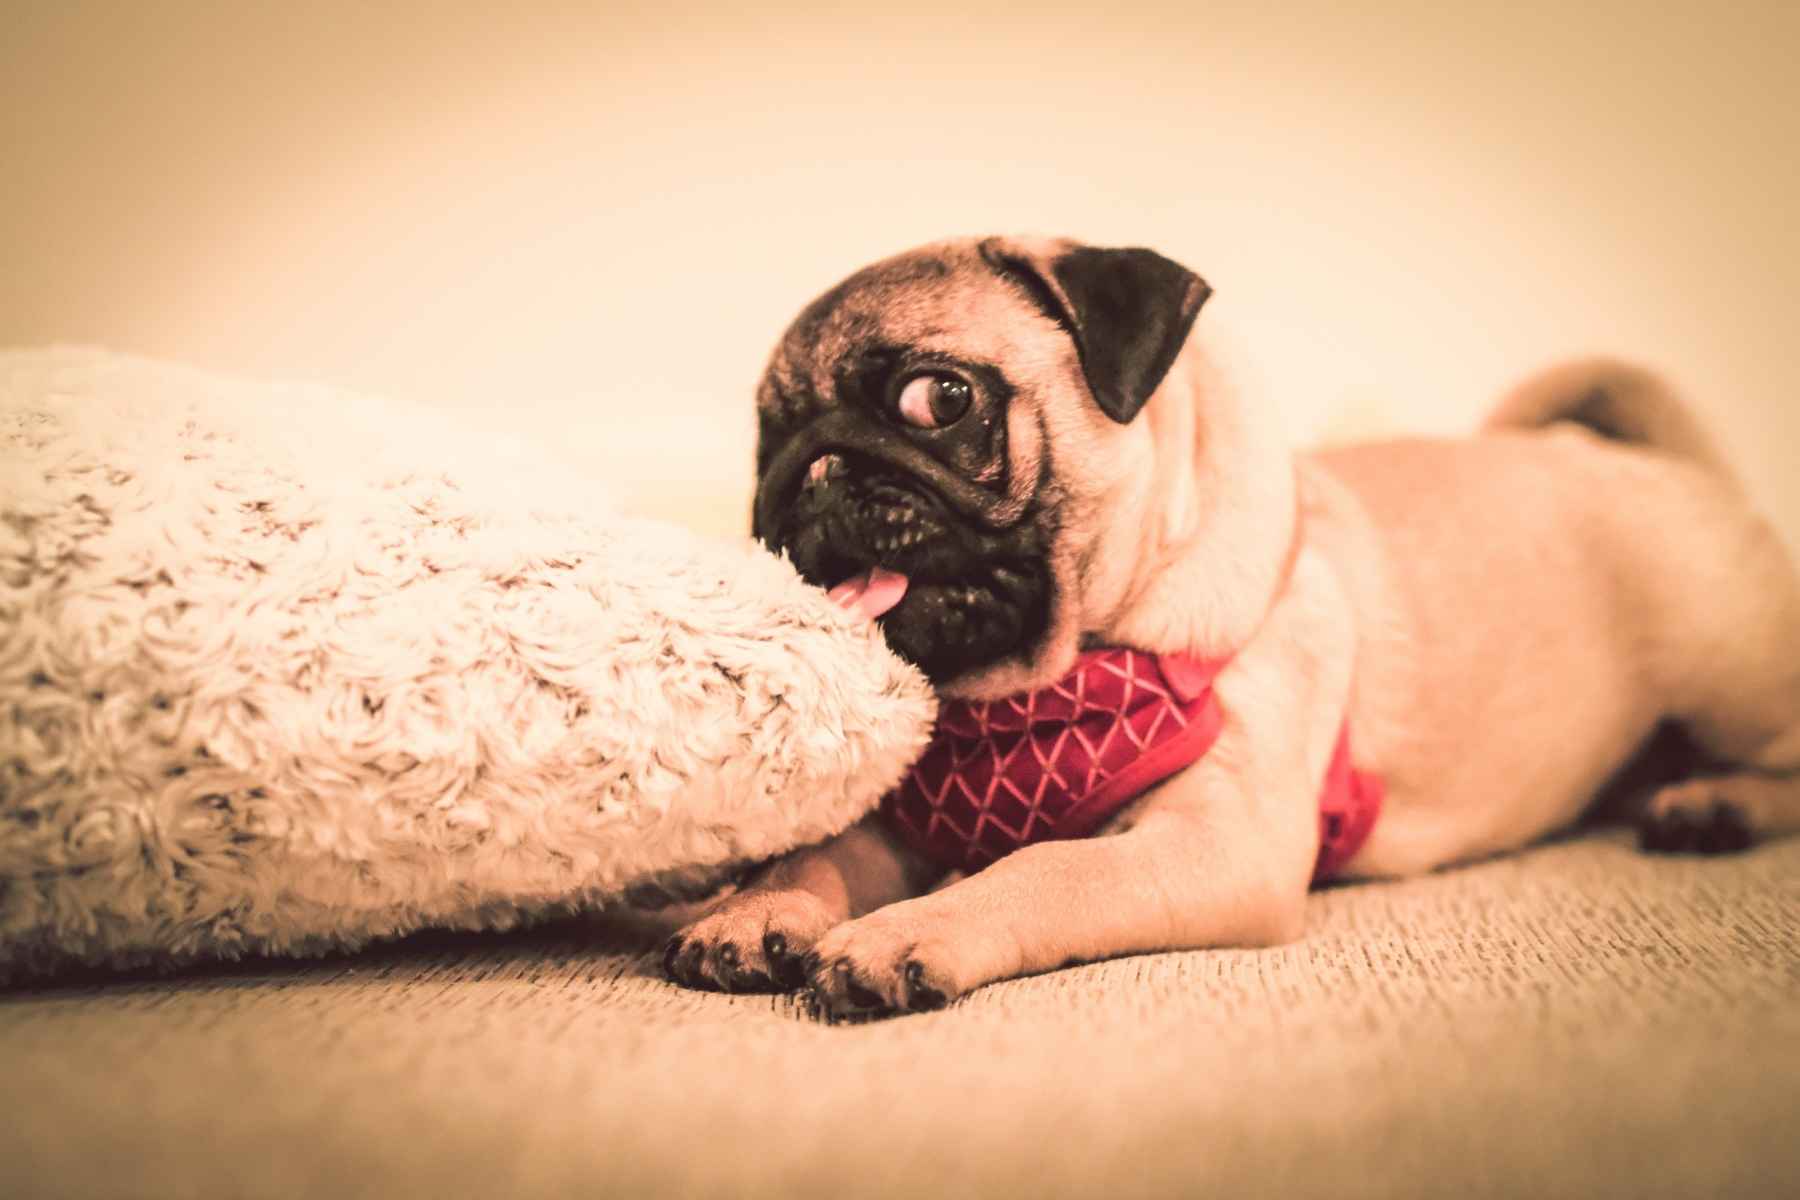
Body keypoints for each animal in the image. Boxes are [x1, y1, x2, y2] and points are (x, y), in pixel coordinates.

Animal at [662, 232, 1800, 1014]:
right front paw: (753, 911)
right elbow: (819, 857)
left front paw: (910, 933)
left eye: (939, 399)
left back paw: (1712, 806)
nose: (806, 473)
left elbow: (1043, 870)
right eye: (766, 437)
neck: (1030, 697)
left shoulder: (1213, 842)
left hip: (1728, 677)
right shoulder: (906, 822)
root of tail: (1664, 463)